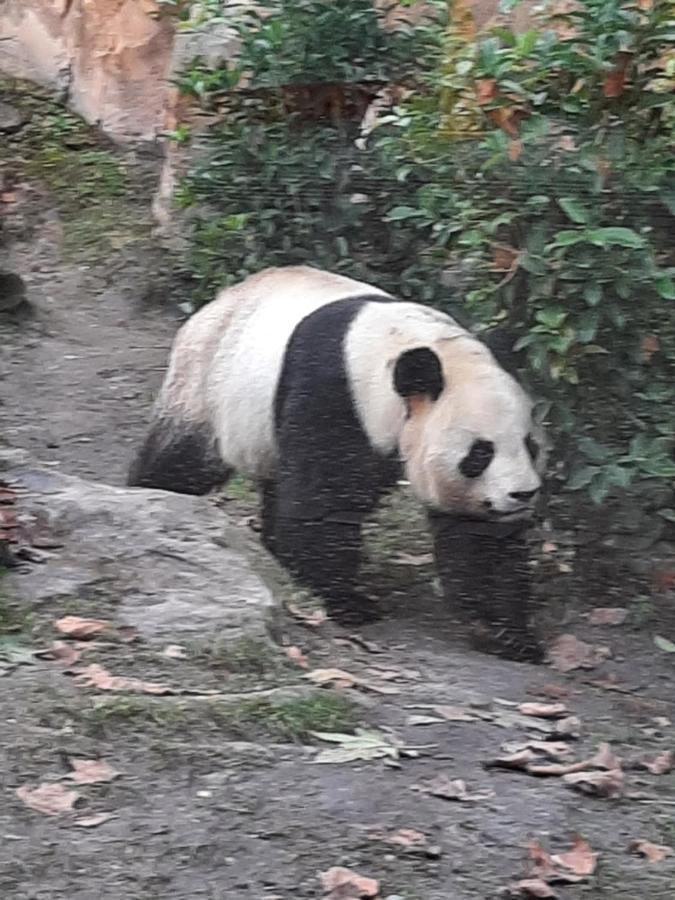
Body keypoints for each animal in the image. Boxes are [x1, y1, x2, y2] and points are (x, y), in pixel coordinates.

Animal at [129, 266, 548, 660]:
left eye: (529, 446)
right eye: (480, 453)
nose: (524, 494)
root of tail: (218, 301)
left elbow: (477, 538)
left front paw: (509, 635)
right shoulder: (335, 393)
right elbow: (321, 505)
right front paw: (348, 602)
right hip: (207, 383)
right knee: (182, 461)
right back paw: (155, 497)